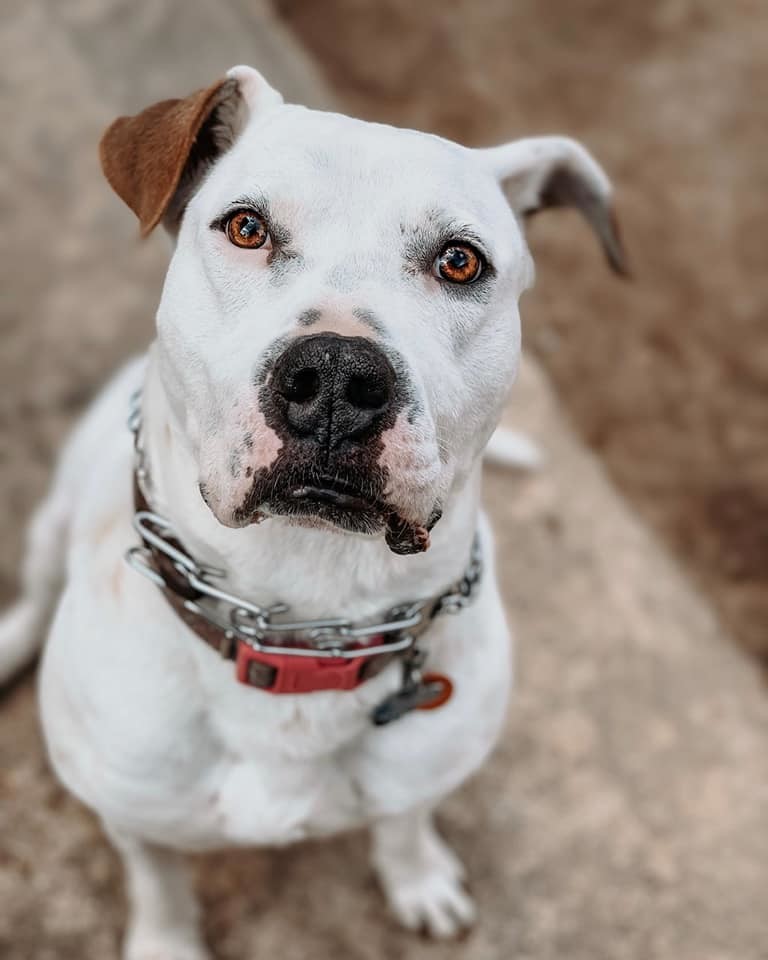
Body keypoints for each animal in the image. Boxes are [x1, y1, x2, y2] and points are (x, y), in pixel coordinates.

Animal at [0, 63, 624, 956]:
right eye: (247, 227)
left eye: (460, 261)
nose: (335, 375)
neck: (303, 624)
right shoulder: (133, 814)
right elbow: (158, 884)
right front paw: (166, 941)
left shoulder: (420, 777)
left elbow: (404, 825)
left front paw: (418, 879)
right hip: (54, 517)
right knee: (40, 582)